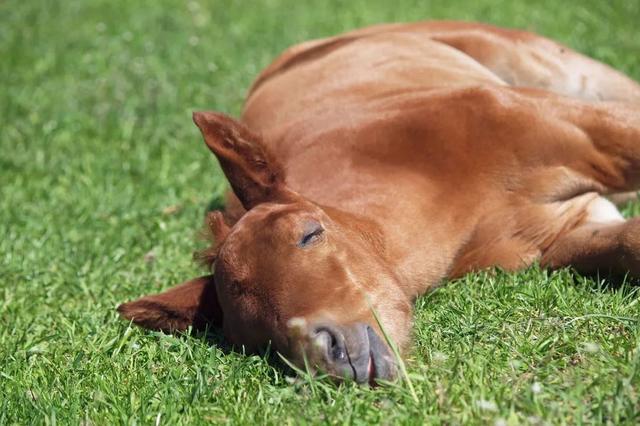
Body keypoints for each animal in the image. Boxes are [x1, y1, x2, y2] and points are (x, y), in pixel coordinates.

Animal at [119, 21, 640, 384]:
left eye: (309, 234)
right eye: (250, 333)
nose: (329, 352)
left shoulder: (584, 130)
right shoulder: (562, 232)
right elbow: (628, 243)